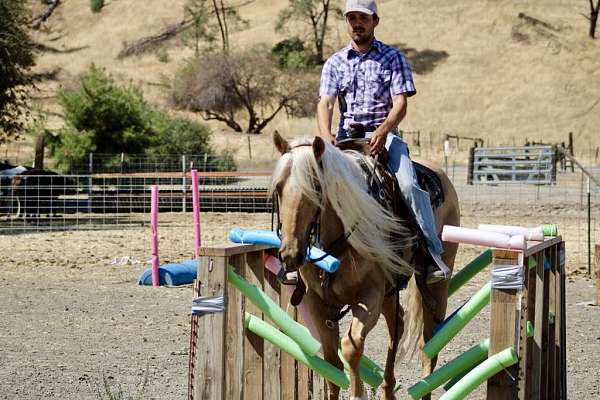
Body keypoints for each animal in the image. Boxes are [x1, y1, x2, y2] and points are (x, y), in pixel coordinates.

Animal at [270, 132, 462, 400]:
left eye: (316, 187)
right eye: (278, 188)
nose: (290, 254)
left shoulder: (369, 297)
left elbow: (351, 347)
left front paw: (357, 393)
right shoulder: (317, 303)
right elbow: (331, 362)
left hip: (436, 286)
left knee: (429, 343)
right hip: (391, 292)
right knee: (398, 325)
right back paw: (388, 390)